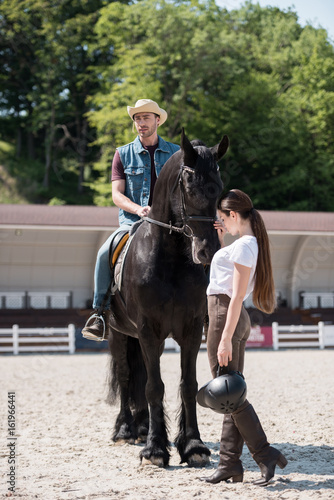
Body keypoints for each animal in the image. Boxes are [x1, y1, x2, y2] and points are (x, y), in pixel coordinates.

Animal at [108, 129, 228, 464]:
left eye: (219, 189)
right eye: (189, 185)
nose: (208, 251)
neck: (171, 258)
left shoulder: (191, 330)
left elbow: (188, 385)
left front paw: (192, 445)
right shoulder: (148, 331)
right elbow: (154, 387)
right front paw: (155, 449)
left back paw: (141, 426)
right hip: (120, 334)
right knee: (127, 376)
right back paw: (126, 430)